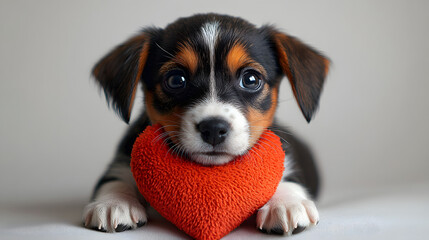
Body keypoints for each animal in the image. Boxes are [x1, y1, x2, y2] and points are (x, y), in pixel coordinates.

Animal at [83, 12, 328, 235]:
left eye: (251, 79)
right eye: (176, 79)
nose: (213, 129)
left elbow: (285, 177)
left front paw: (285, 203)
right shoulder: (122, 159)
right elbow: (115, 179)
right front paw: (114, 203)